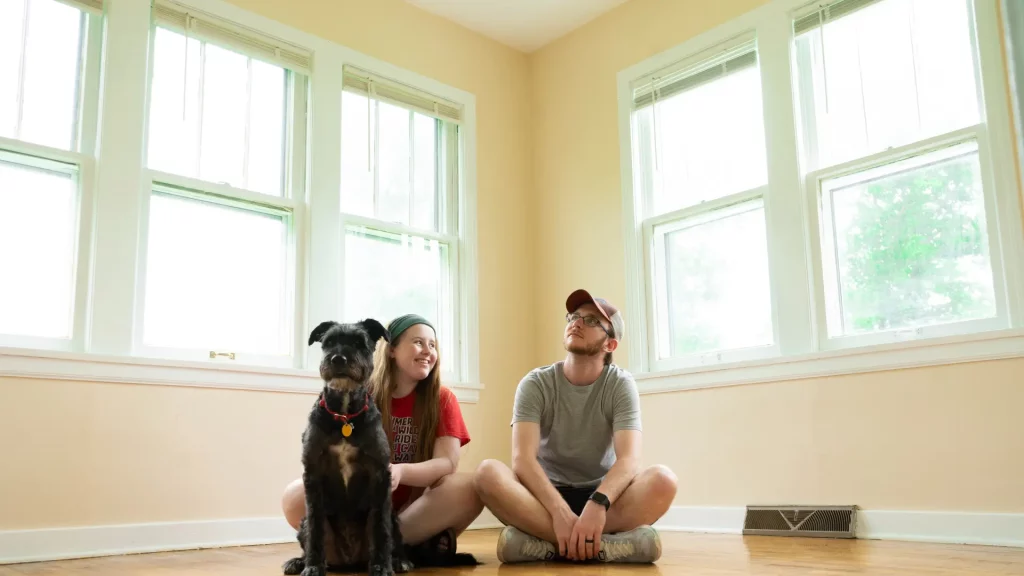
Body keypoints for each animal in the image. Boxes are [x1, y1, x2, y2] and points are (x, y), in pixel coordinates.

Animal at [282, 317, 409, 573]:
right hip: (303, 523)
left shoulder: (380, 473)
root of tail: (349, 561)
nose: (338, 359)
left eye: (360, 342)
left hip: (393, 518)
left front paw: (382, 566)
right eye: (329, 342)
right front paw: (313, 566)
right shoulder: (313, 474)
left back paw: (398, 560)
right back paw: (299, 561)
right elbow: (316, 528)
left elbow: (380, 528)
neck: (344, 416)